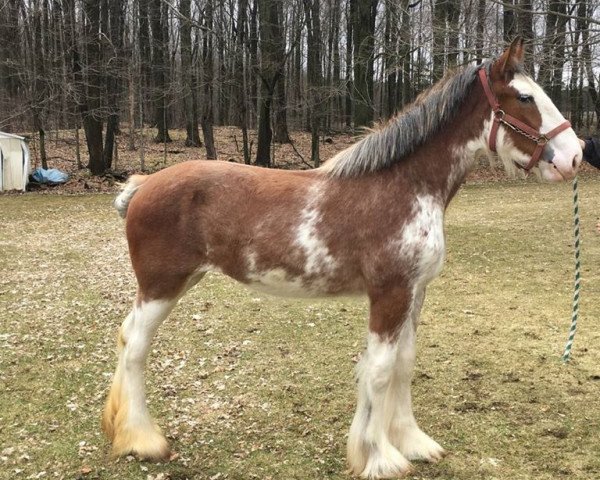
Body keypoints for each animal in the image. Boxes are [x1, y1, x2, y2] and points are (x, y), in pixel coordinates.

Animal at [102, 39, 580, 478]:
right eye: (524, 97)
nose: (575, 156)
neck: (405, 186)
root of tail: (142, 185)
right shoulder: (389, 294)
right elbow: (380, 372)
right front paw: (379, 456)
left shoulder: (415, 293)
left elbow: (404, 365)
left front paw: (412, 442)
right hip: (162, 286)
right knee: (137, 346)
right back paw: (144, 440)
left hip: (180, 281)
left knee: (128, 337)